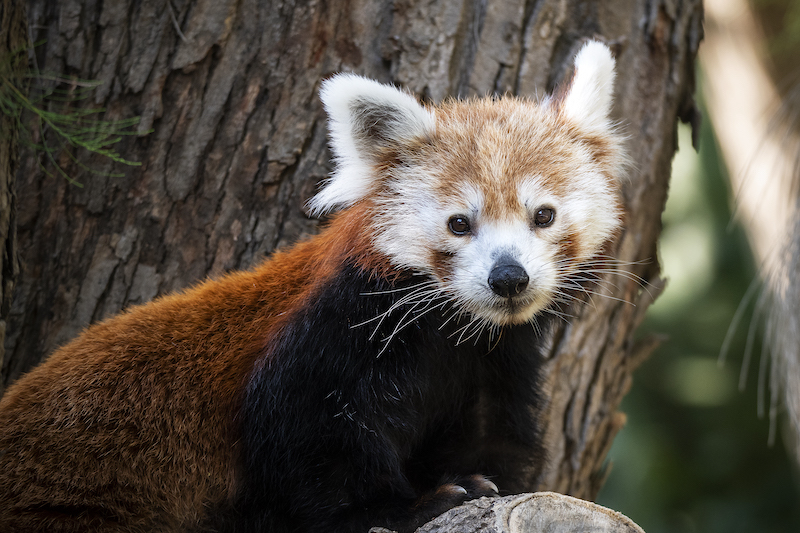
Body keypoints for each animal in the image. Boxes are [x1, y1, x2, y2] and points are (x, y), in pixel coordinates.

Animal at [0, 41, 624, 532]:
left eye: (542, 216)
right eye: (458, 224)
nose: (508, 277)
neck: (449, 336)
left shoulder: (494, 365)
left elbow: (491, 438)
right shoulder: (330, 337)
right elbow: (312, 448)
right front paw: (410, 507)